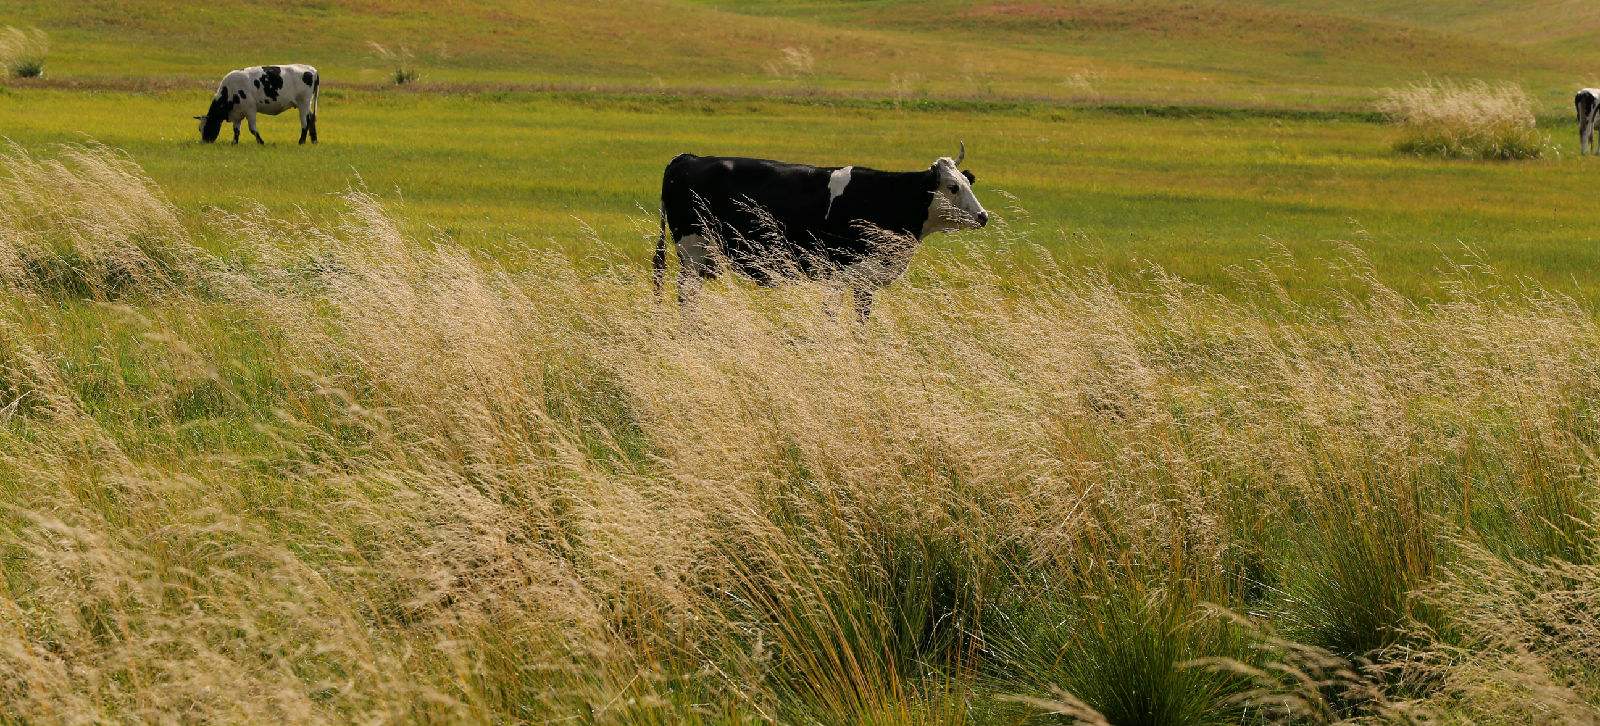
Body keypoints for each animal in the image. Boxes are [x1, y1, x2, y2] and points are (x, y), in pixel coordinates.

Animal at [649, 144, 985, 318]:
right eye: (953, 187)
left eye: (968, 183)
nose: (983, 217)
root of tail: (687, 158)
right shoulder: (841, 271)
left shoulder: (865, 280)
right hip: (693, 250)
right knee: (686, 295)